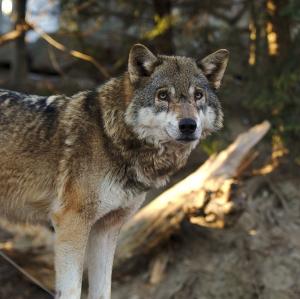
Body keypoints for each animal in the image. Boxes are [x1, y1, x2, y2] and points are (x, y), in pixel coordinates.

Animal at [0, 43, 229, 298]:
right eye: (162, 95)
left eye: (198, 95)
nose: (188, 125)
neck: (109, 137)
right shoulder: (71, 223)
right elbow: (72, 290)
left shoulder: (106, 228)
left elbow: (103, 290)